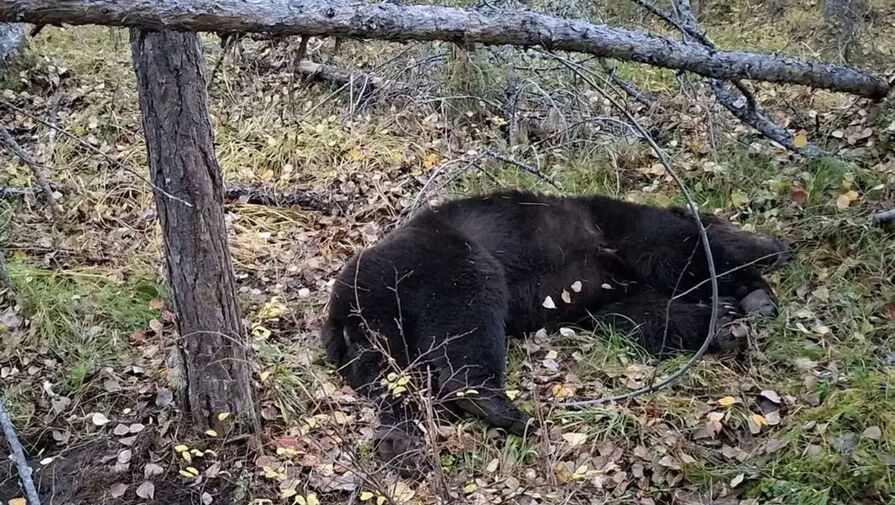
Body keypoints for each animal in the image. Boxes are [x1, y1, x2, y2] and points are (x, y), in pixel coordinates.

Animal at [321, 190, 791, 468]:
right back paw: (501, 409)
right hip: (446, 260)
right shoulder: (621, 230)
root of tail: (343, 306)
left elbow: (644, 316)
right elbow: (682, 252)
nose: (782, 245)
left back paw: (400, 440)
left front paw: (726, 321)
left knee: (390, 378)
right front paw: (753, 286)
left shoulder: (608, 293)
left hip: (377, 332)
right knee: (468, 318)